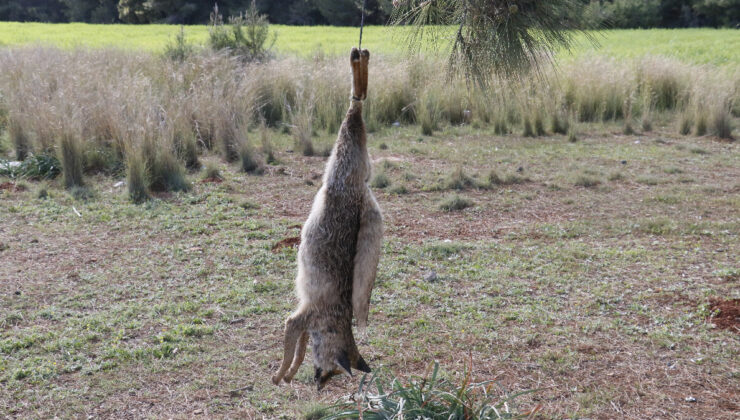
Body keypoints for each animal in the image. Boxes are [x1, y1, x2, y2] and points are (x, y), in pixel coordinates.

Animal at [274, 46, 388, 390]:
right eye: (335, 370)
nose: (320, 384)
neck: (333, 324)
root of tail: (360, 190)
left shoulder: (304, 319)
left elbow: (298, 348)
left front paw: (288, 374)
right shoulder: (301, 318)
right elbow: (292, 341)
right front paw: (281, 375)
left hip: (350, 163)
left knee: (356, 106)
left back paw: (361, 63)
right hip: (347, 165)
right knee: (354, 111)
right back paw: (359, 63)